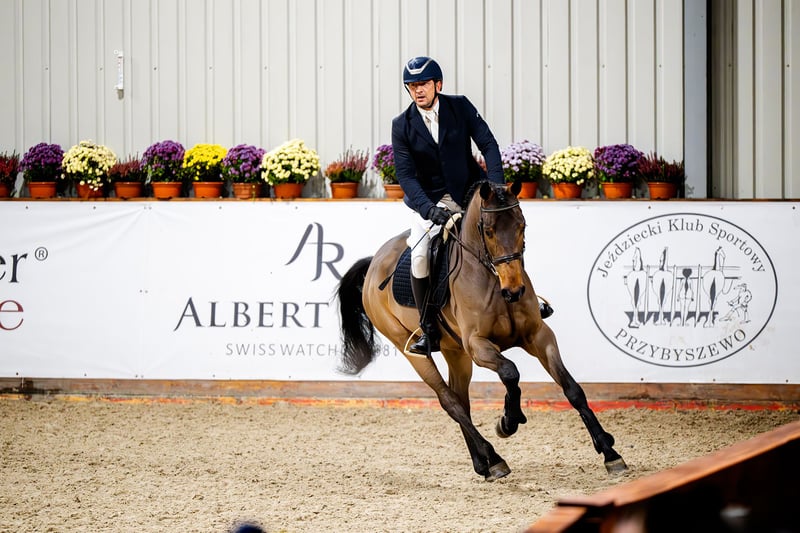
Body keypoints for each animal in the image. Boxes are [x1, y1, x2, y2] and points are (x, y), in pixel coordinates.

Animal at [336, 180, 627, 480]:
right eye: (488, 231)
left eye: (522, 225)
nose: (514, 291)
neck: (493, 279)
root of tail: (374, 262)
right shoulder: (479, 345)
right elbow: (511, 372)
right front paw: (508, 421)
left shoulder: (539, 336)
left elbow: (572, 389)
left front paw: (609, 451)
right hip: (411, 349)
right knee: (449, 401)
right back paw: (494, 458)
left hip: (456, 351)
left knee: (461, 398)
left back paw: (482, 462)